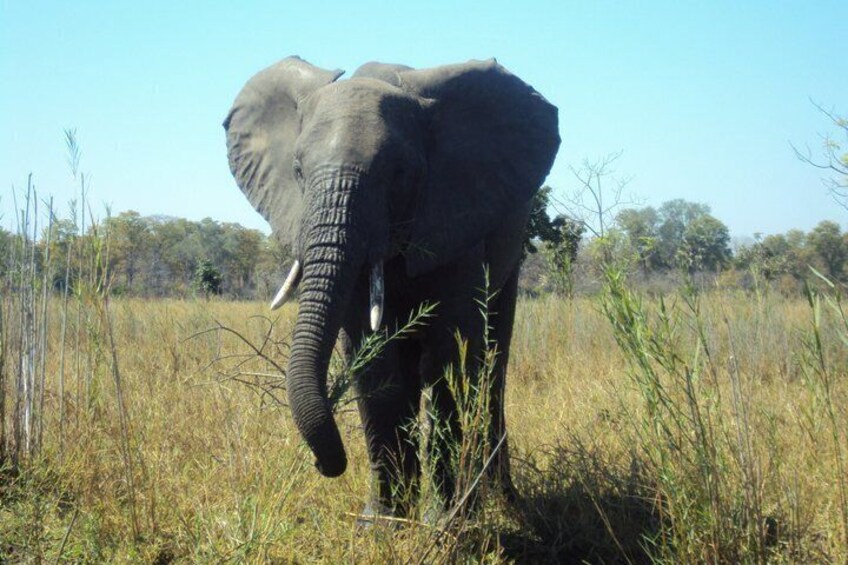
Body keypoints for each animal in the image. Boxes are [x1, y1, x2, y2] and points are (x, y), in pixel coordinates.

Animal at [223, 56, 559, 518]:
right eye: (297, 171)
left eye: (400, 174)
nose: (323, 464)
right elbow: (375, 365)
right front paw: (383, 522)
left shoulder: (454, 217)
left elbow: (450, 355)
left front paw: (446, 522)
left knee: (493, 366)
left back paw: (502, 502)